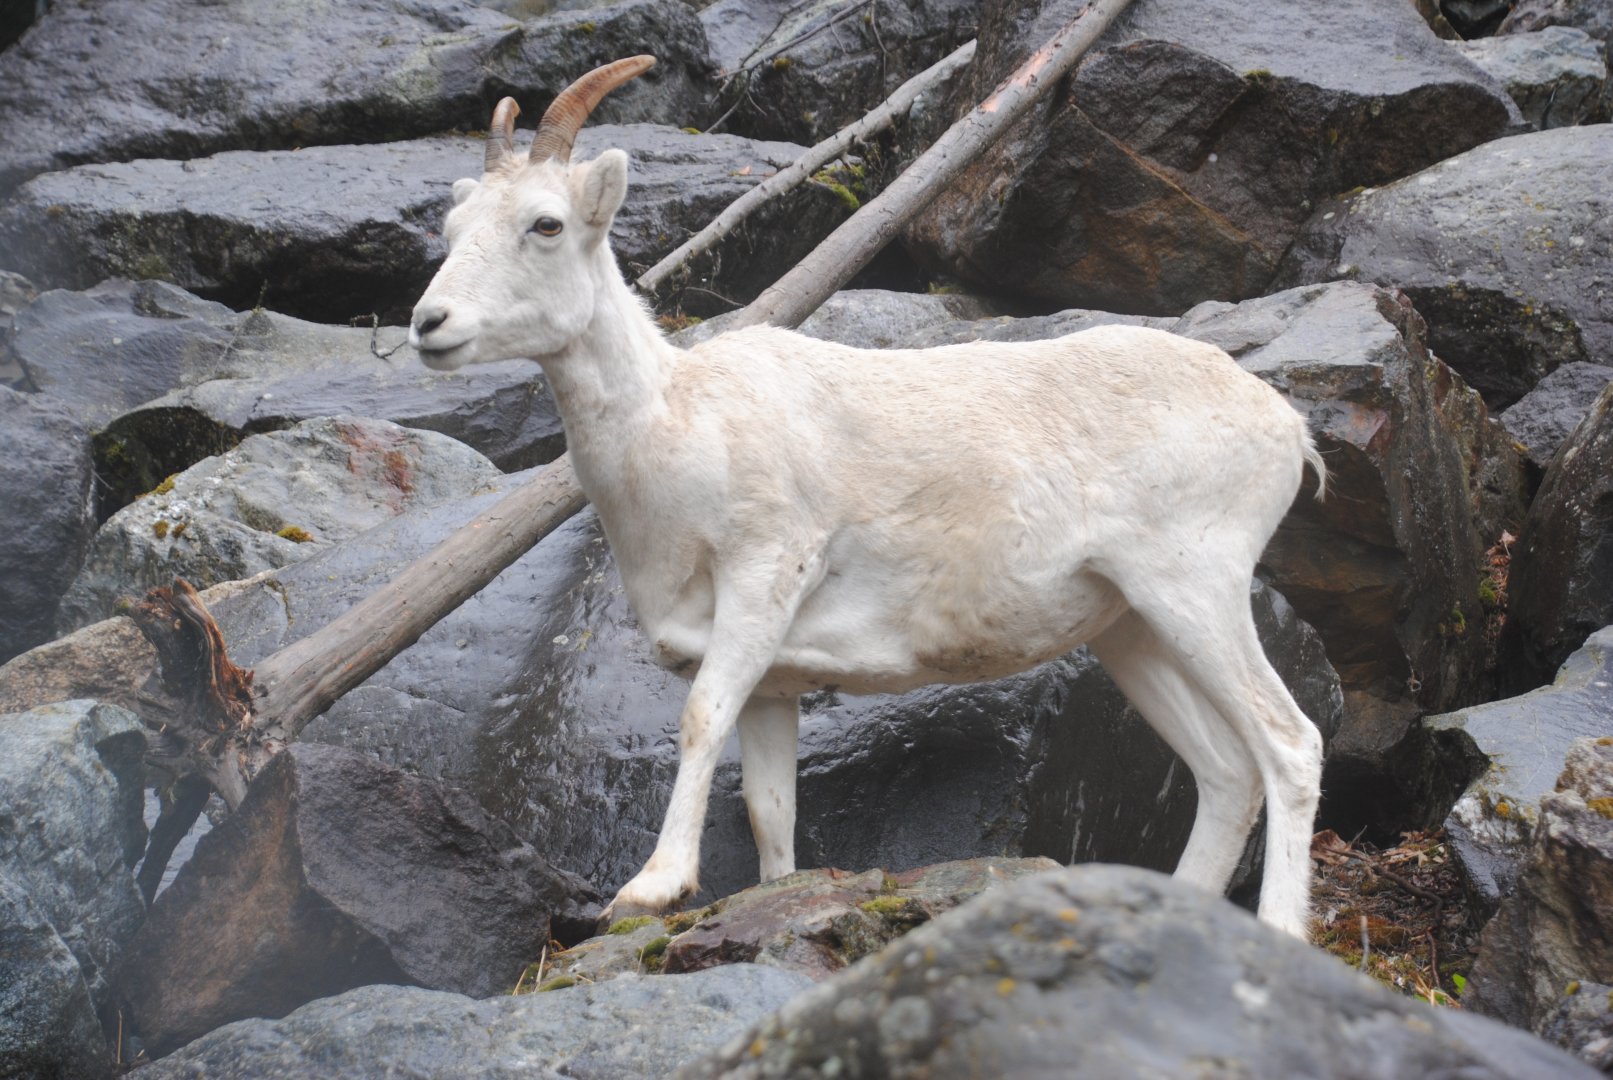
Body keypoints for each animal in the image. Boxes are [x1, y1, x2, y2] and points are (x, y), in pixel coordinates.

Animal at [409, 56, 1329, 938]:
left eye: (546, 224)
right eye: (452, 232)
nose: (428, 324)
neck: (677, 429)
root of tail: (1284, 426)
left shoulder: (762, 581)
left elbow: (701, 718)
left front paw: (649, 890)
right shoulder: (775, 684)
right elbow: (768, 809)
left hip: (1192, 588)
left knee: (1288, 746)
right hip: (1130, 627)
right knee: (1226, 772)